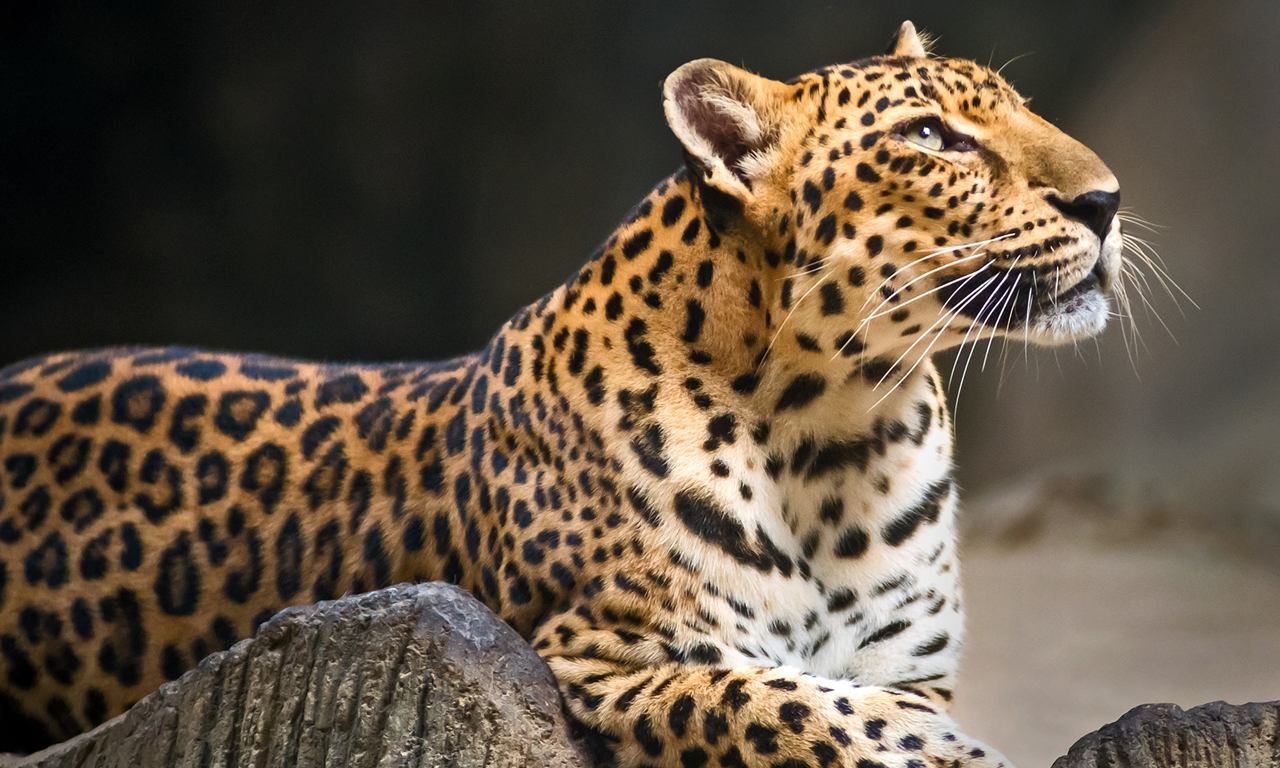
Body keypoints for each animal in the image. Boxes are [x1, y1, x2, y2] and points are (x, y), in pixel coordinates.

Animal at [0, 21, 1122, 766]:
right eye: (932, 139)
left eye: (1017, 109)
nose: (1106, 201)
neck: (843, 434)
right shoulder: (611, 658)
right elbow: (806, 708)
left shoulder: (907, 662)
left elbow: (869, 703)